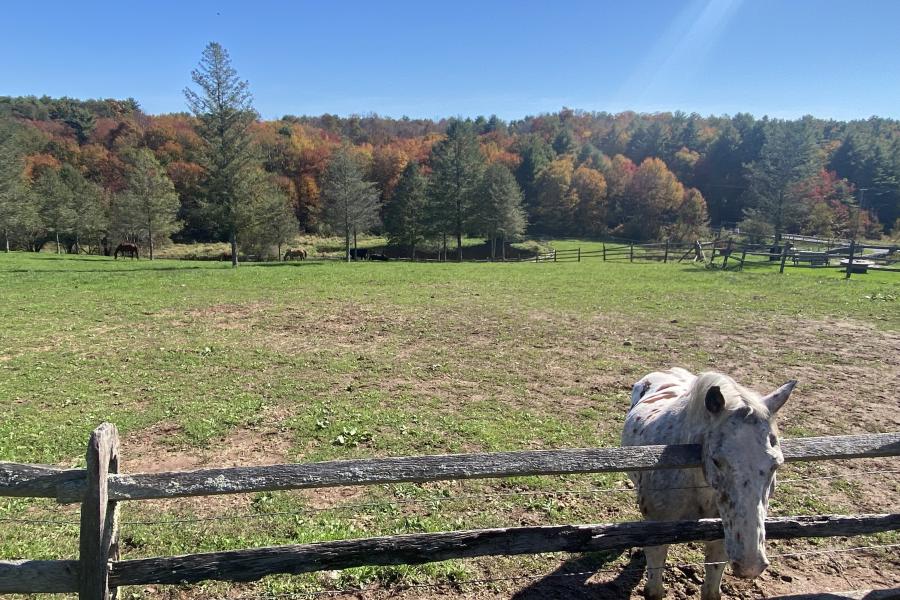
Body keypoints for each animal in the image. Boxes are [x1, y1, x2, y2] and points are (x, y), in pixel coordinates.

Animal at [624, 368, 800, 600]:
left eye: (776, 464)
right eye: (716, 460)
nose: (750, 565)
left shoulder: (723, 537)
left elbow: (711, 587)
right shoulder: (657, 534)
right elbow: (654, 588)